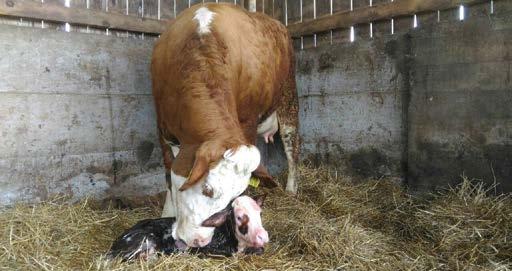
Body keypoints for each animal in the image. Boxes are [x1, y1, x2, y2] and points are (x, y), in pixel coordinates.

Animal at [108, 196, 268, 262]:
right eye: (239, 217)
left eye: (260, 213)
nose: (263, 236)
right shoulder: (206, 250)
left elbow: (260, 250)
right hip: (147, 241)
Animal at [150, 3, 298, 249]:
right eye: (208, 189)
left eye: (233, 196)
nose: (199, 240)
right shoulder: (163, 128)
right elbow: (168, 174)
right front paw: (166, 214)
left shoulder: (247, 121)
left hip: (288, 95)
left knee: (292, 147)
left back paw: (292, 189)